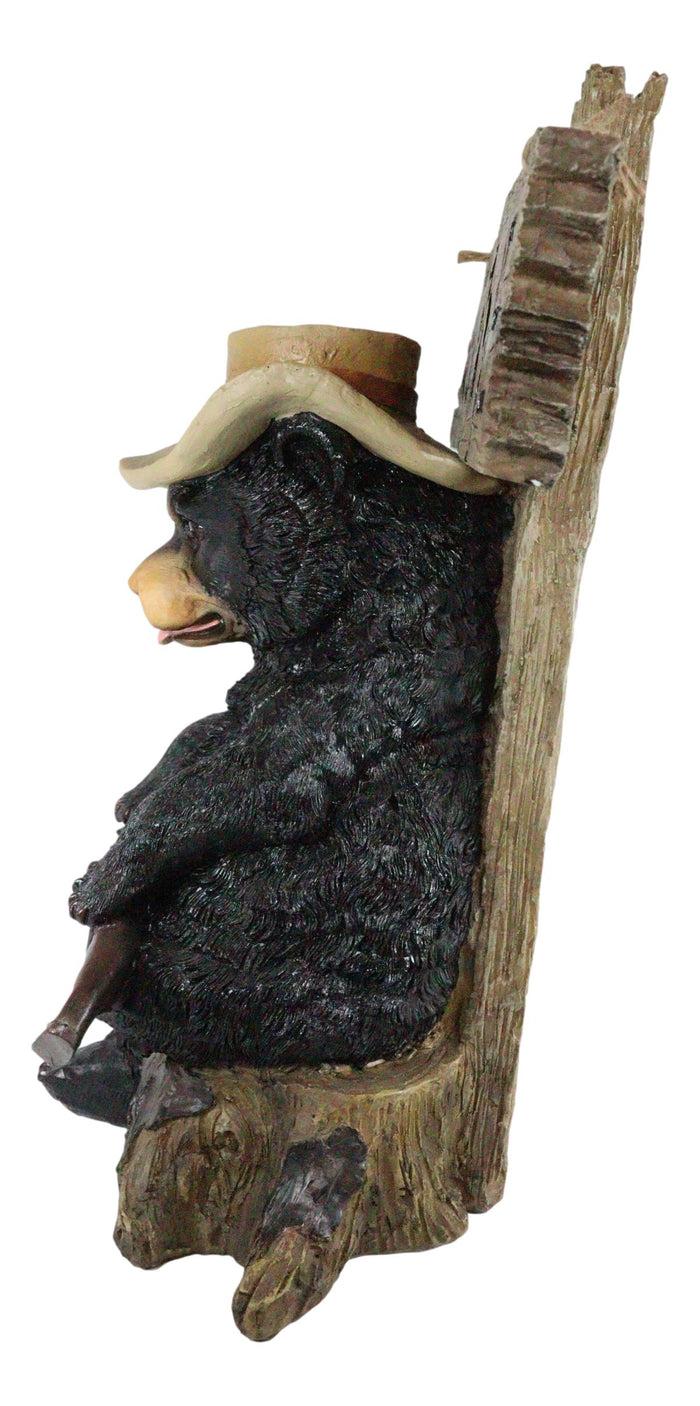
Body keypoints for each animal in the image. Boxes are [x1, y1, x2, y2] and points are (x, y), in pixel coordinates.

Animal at [39, 411, 511, 1123]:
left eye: (191, 526)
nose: (131, 582)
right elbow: (214, 727)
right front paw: (133, 795)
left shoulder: (372, 681)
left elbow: (258, 780)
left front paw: (98, 883)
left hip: (316, 975)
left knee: (195, 983)